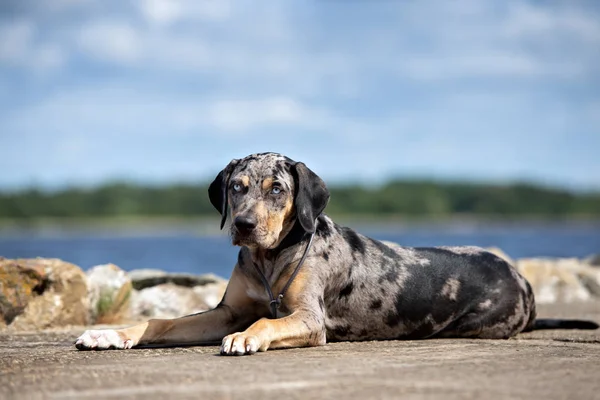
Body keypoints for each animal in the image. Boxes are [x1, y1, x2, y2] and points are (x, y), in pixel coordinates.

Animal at [76, 152, 600, 354]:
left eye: (277, 189)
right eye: (237, 187)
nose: (244, 227)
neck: (271, 260)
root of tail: (524, 279)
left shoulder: (310, 319)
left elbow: (265, 322)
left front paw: (248, 337)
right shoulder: (225, 311)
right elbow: (160, 323)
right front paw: (110, 334)